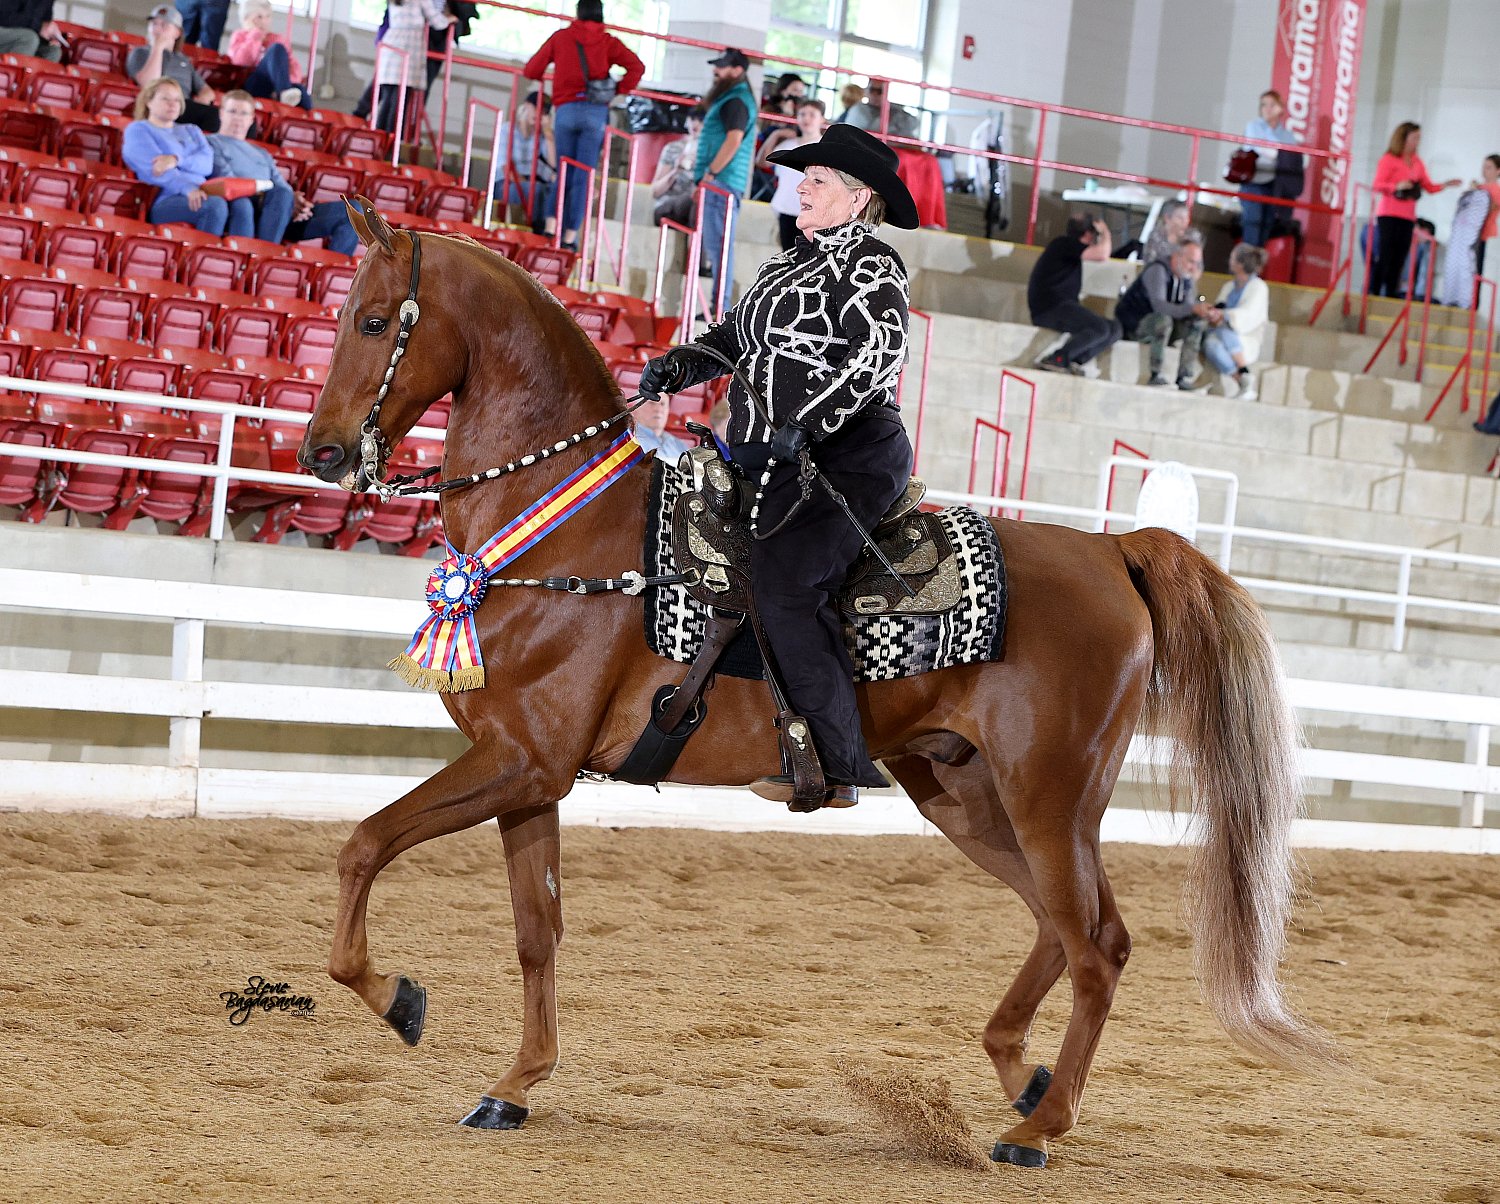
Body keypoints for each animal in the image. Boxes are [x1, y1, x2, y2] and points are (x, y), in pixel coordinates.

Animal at [292, 205, 1338, 1169]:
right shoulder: (531, 776)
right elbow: (536, 930)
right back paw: (1021, 1073)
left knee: (1099, 944)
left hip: (1054, 797)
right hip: (963, 793)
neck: (568, 530)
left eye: (376, 320)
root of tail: (1112, 550)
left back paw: (1038, 1129)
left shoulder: (520, 762)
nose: (322, 454)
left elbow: (363, 844)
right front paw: (513, 1085)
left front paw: (400, 1001)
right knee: (1060, 924)